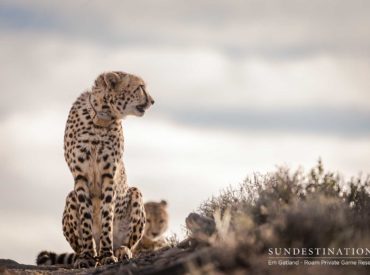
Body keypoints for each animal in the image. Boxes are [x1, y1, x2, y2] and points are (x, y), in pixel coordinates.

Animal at [36, 71, 155, 270]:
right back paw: (84, 255)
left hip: (135, 193)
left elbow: (107, 216)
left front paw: (108, 255)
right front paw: (86, 257)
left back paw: (120, 251)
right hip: (70, 197)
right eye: (140, 87)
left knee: (127, 242)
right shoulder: (80, 176)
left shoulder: (109, 176)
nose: (153, 101)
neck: (101, 118)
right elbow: (86, 219)